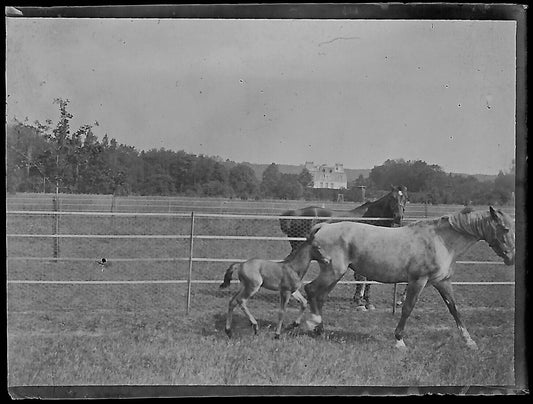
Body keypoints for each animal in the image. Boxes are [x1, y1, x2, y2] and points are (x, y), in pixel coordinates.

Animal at [278, 185, 408, 310]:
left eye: (405, 199)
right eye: (392, 198)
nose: (398, 217)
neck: (373, 218)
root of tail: (293, 214)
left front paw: (367, 301)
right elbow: (361, 278)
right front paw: (359, 301)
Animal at [306, 207, 512, 348]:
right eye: (505, 228)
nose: (511, 257)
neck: (441, 241)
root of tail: (324, 226)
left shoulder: (442, 282)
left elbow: (454, 309)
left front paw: (469, 342)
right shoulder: (417, 281)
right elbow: (407, 308)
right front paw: (399, 340)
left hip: (333, 274)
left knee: (319, 296)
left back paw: (319, 330)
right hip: (333, 272)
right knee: (312, 290)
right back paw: (314, 326)